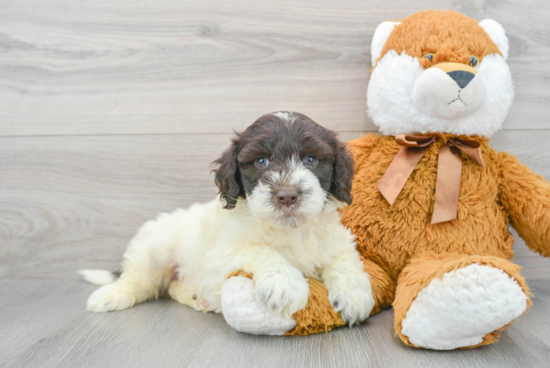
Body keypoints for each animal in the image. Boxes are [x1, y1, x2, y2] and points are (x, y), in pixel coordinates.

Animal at [81, 110, 376, 332]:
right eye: (261, 161)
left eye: (311, 159)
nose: (287, 195)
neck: (288, 230)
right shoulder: (220, 255)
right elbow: (261, 249)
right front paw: (285, 285)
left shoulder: (335, 239)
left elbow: (343, 257)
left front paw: (354, 294)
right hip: (155, 247)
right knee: (138, 282)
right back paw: (110, 296)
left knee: (171, 287)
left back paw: (198, 298)